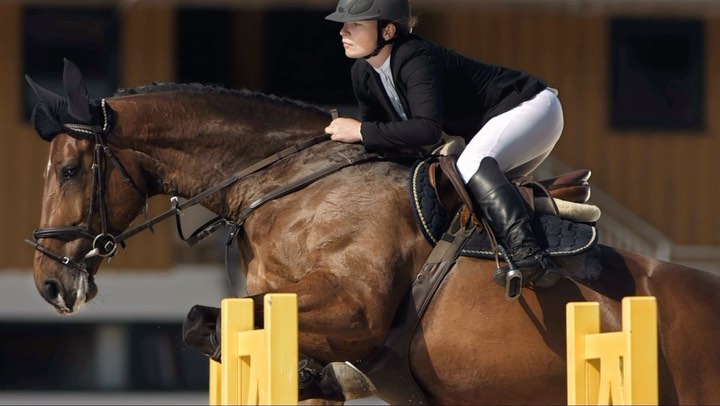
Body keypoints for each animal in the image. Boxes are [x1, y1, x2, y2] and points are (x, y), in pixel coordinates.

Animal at [25, 60, 720, 404]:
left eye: (69, 169)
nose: (49, 284)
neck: (285, 183)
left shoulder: (355, 308)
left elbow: (212, 319)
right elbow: (212, 322)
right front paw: (316, 376)